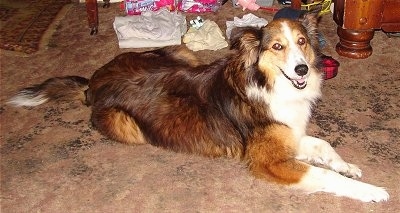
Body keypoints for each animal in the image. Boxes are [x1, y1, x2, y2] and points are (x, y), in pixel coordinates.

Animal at [7, 12, 390, 202]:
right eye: (277, 47)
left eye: (301, 43)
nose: (302, 70)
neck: (268, 84)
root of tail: (93, 82)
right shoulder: (266, 159)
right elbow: (323, 174)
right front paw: (372, 192)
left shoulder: (289, 134)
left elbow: (324, 145)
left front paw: (349, 166)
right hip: (128, 126)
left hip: (181, 53)